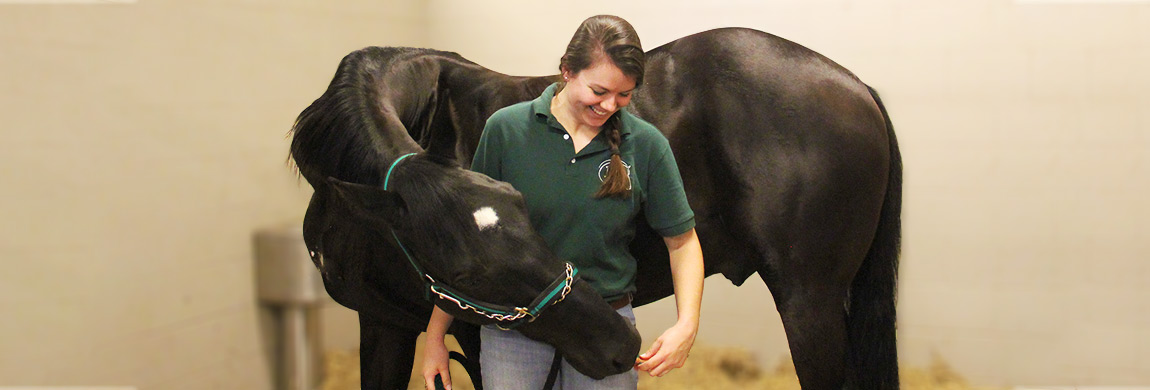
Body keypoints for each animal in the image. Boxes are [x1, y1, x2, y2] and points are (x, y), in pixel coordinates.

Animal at [289, 27, 897, 390]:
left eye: (522, 208)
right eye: (462, 272)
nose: (621, 345)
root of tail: (856, 86)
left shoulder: (475, 337)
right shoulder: (384, 324)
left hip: (809, 304)